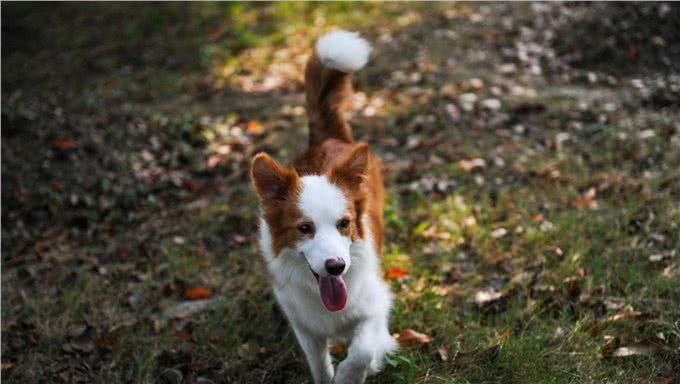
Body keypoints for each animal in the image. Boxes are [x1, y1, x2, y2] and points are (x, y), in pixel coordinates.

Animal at [252, 30, 396, 384]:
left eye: (345, 223)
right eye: (304, 228)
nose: (336, 267)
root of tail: (328, 138)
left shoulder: (377, 304)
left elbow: (362, 351)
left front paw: (353, 373)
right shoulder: (304, 325)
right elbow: (319, 365)